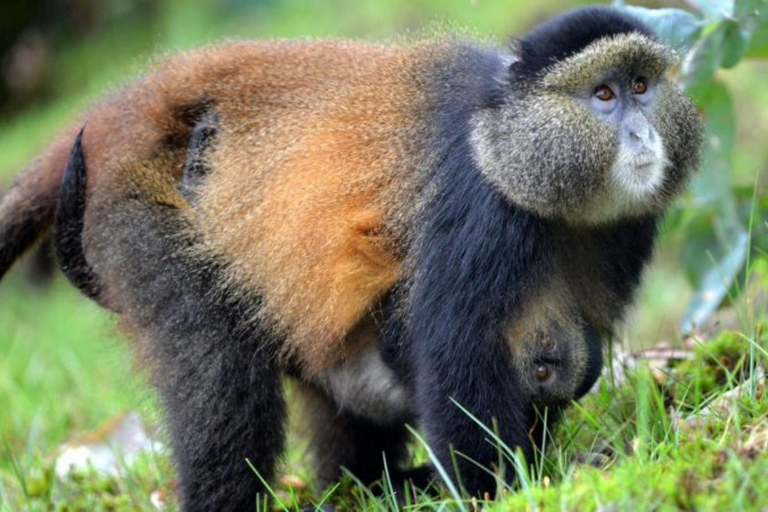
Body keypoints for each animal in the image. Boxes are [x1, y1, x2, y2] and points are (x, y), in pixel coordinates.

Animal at [0, 6, 702, 511]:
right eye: (603, 95)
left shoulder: (625, 232)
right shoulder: (480, 212)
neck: (508, 144)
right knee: (222, 390)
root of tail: (128, 106)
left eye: (642, 86)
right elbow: (456, 356)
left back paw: (369, 487)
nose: (641, 134)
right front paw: (501, 490)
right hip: (139, 216)